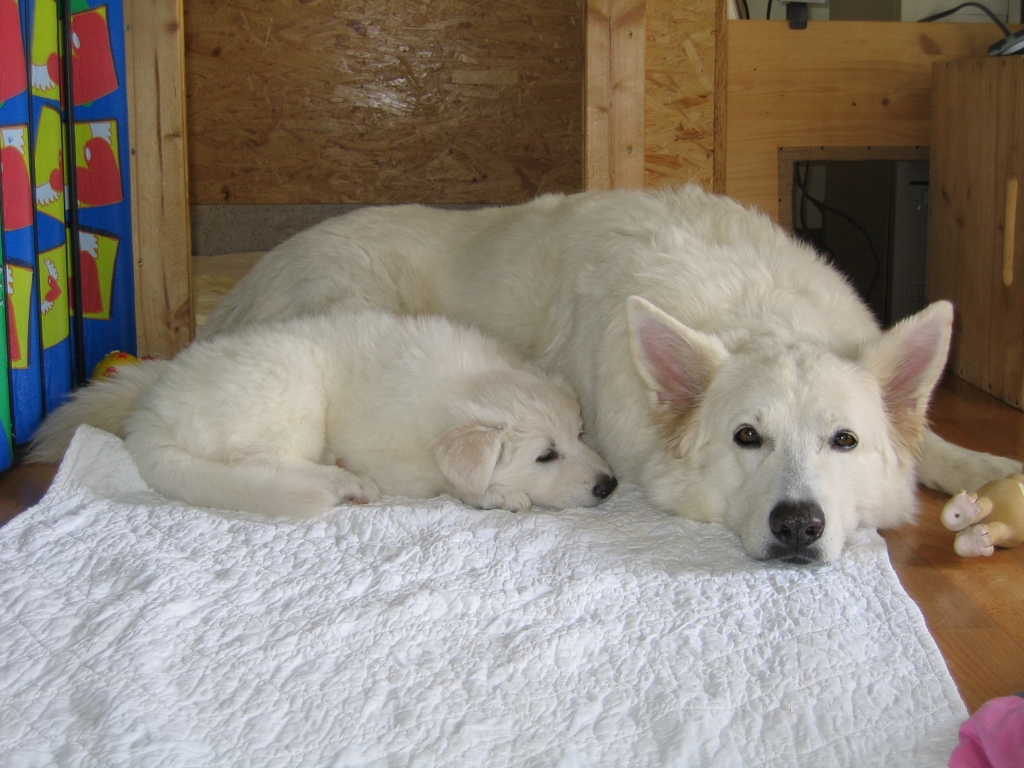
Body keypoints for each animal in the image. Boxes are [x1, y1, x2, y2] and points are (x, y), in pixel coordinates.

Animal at [29, 310, 617, 518]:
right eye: (545, 455)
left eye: (580, 433)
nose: (610, 485)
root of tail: (148, 417)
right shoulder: (404, 461)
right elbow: (456, 483)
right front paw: (499, 493)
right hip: (291, 387)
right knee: (257, 462)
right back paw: (344, 483)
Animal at [198, 185, 1021, 563]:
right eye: (746, 437)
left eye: (843, 440)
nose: (797, 526)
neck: (757, 310)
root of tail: (248, 279)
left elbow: (937, 445)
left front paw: (989, 468)